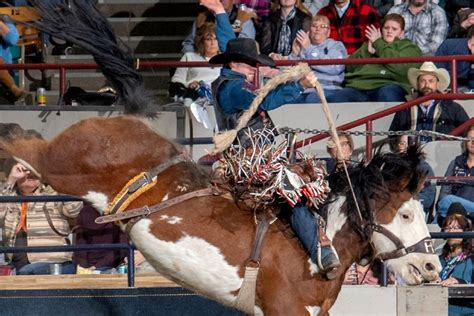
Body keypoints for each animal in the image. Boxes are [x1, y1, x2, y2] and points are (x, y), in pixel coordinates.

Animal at [0, 119, 440, 316]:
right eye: (404, 213)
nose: (431, 266)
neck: (318, 246)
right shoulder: (287, 311)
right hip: (61, 166)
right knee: (21, 140)